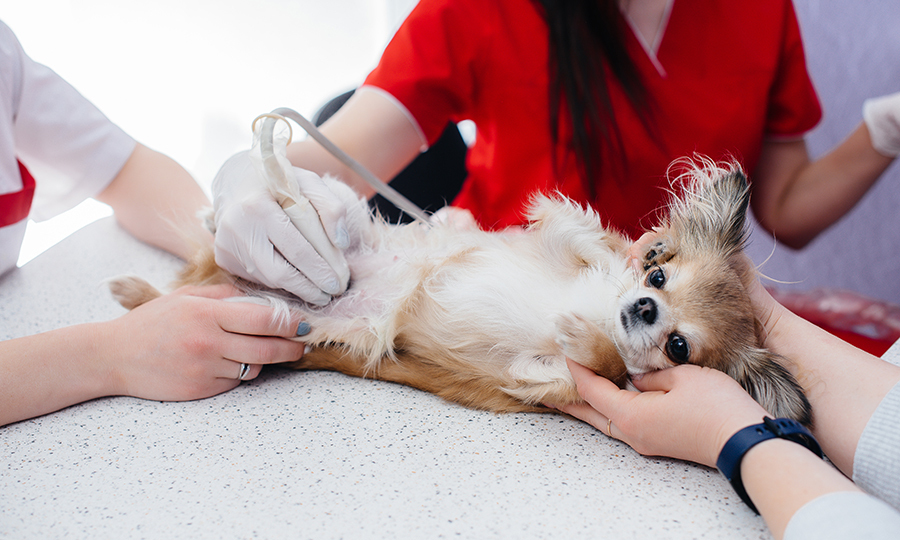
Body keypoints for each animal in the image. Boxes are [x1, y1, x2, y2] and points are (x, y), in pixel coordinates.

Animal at [109, 159, 812, 426]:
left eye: (678, 347)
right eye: (658, 277)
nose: (642, 305)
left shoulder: (536, 380)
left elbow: (599, 365)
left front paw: (586, 337)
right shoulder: (560, 249)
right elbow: (581, 232)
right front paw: (605, 243)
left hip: (264, 319)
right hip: (330, 226)